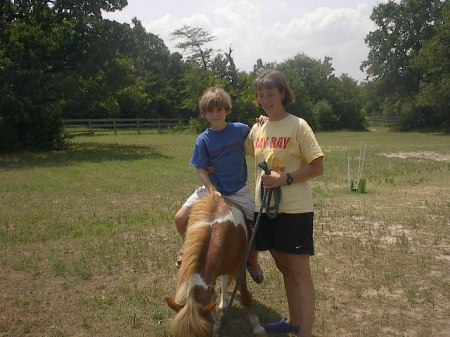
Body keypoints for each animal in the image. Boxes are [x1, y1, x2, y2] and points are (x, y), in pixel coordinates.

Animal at [166, 192, 268, 336]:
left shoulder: (239, 270)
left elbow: (246, 297)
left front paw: (258, 327)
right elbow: (212, 298)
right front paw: (216, 325)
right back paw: (223, 303)